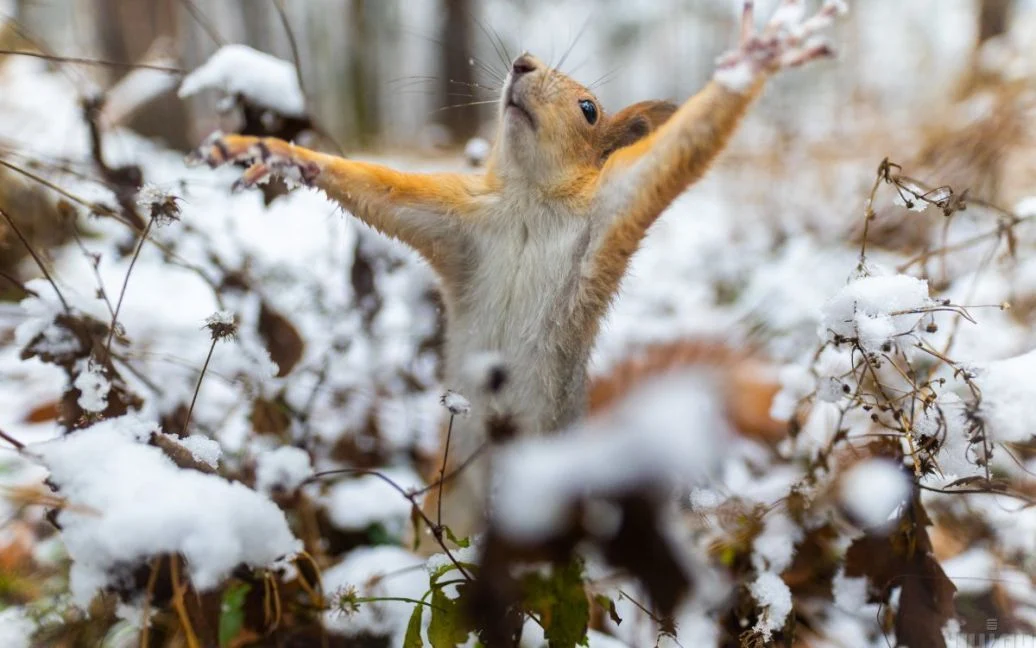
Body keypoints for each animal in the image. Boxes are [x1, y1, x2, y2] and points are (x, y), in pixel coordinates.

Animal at [192, 0, 841, 539]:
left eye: (589, 109)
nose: (522, 63)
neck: (530, 197)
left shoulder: (614, 207)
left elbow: (679, 153)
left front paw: (757, 57)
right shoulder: (454, 219)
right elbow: (378, 188)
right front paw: (276, 153)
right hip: (447, 502)